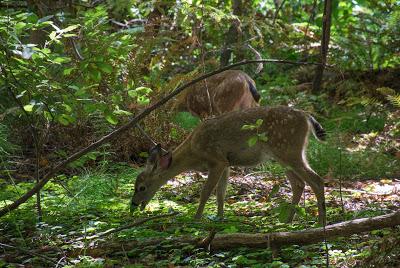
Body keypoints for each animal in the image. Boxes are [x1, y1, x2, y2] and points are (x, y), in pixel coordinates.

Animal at [133, 105, 326, 225]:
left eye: (142, 187)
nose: (134, 204)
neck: (194, 153)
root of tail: (306, 117)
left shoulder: (216, 159)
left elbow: (206, 192)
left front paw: (196, 218)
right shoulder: (226, 163)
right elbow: (221, 193)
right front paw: (219, 218)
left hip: (288, 149)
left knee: (317, 180)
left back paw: (320, 222)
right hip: (283, 155)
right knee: (299, 183)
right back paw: (288, 221)